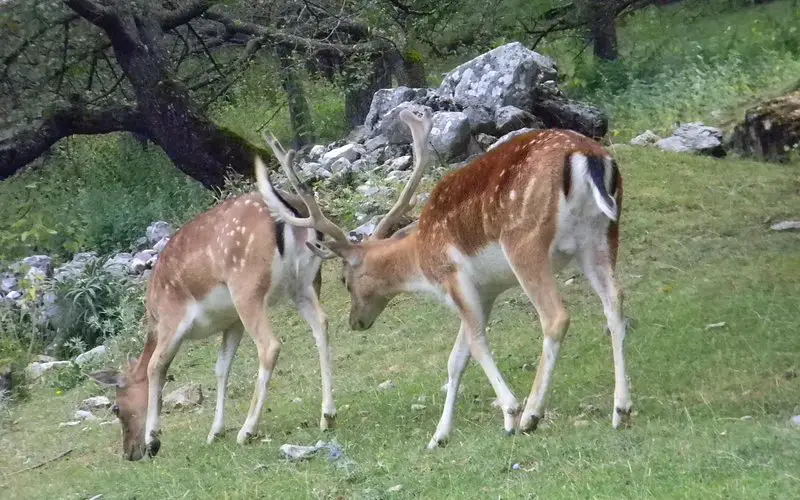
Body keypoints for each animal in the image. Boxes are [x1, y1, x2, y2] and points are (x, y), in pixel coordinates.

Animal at [86, 181, 334, 460]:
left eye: (116, 408)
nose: (129, 453)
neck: (153, 319)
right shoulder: (232, 322)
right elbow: (221, 368)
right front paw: (214, 432)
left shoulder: (172, 319)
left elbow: (154, 367)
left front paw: (153, 440)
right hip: (305, 282)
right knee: (321, 323)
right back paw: (327, 416)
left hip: (247, 287)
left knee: (270, 345)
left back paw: (247, 431)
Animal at [258, 106, 632, 450]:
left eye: (344, 281)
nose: (355, 322)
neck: (421, 259)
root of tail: (587, 156)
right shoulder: (485, 291)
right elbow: (456, 358)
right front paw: (439, 436)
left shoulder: (453, 277)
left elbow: (476, 345)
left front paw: (510, 412)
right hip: (601, 235)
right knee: (615, 301)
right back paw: (621, 409)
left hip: (526, 242)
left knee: (556, 316)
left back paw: (532, 415)